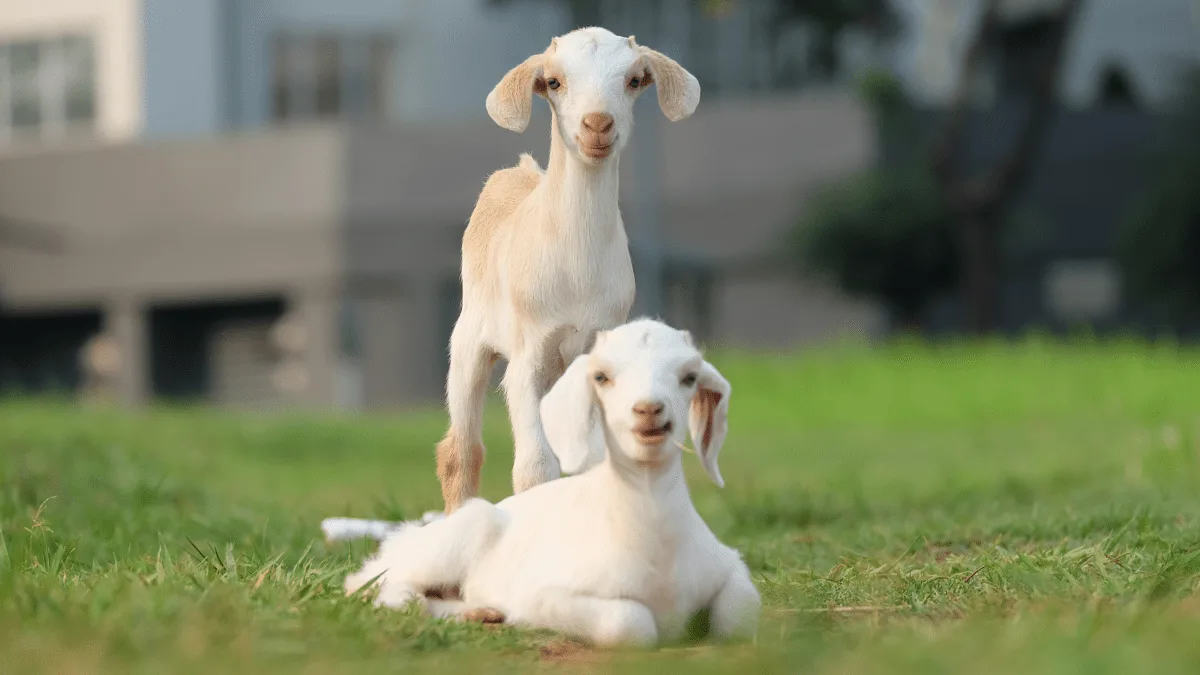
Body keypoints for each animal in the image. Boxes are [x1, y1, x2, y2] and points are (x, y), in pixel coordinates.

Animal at [336, 318, 760, 648]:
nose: (648, 410)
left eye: (689, 377)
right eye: (602, 377)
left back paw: (479, 612)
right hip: (448, 542)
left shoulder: (729, 565)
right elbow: (630, 624)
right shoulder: (548, 593)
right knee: (369, 584)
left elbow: (740, 615)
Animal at [436, 26, 702, 512]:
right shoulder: (529, 353)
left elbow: (595, 464)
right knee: (460, 450)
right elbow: (534, 469)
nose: (597, 124)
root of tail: (518, 171)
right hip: (468, 342)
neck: (577, 269)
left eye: (633, 80)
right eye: (555, 82)